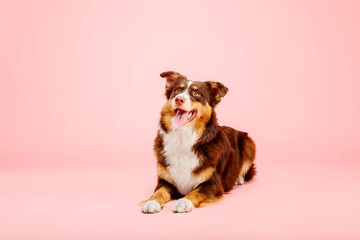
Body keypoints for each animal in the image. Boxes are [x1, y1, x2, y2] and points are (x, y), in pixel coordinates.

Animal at [141, 71, 256, 214]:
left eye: (197, 93)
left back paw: (238, 179)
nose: (179, 99)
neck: (183, 138)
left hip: (249, 144)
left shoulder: (213, 184)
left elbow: (196, 192)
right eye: (177, 90)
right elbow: (159, 192)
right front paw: (151, 201)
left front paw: (184, 201)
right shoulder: (165, 181)